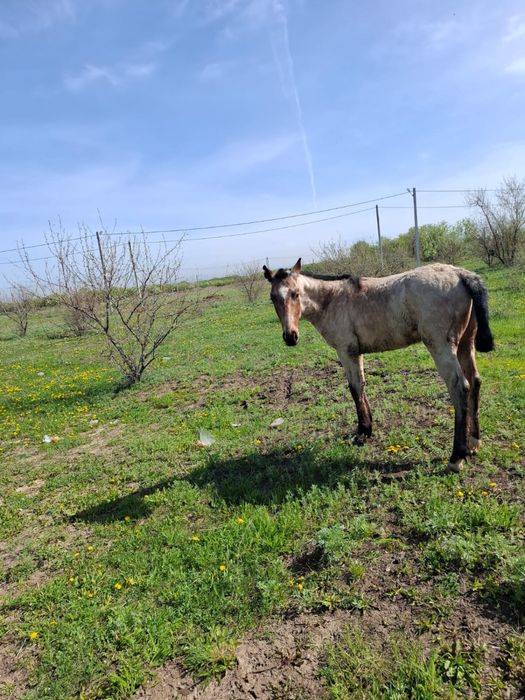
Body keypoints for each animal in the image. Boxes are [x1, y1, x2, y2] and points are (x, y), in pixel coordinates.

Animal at [263, 258, 494, 473]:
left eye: (295, 294)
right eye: (273, 298)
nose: (290, 337)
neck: (333, 299)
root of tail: (460, 274)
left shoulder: (346, 352)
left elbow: (355, 388)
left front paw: (361, 433)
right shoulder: (356, 353)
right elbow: (362, 386)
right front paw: (367, 429)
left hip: (441, 346)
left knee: (460, 387)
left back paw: (457, 457)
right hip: (466, 343)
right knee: (475, 381)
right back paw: (473, 443)